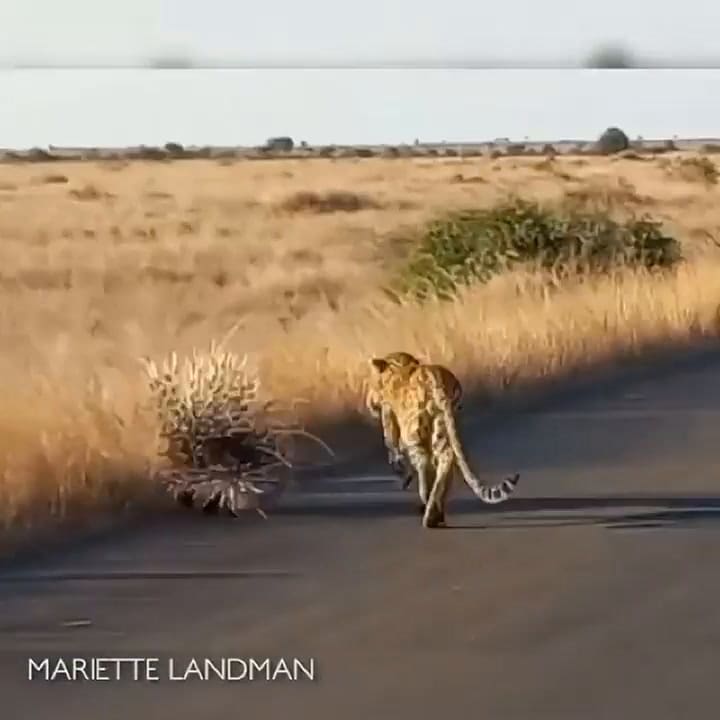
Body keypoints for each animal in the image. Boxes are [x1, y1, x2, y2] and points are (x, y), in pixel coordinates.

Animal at [366, 353, 520, 528]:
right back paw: (435, 512)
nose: (369, 403)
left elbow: (393, 447)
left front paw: (403, 474)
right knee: (447, 459)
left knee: (425, 462)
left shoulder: (389, 415)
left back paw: (427, 505)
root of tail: (439, 382)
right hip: (443, 424)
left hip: (415, 432)